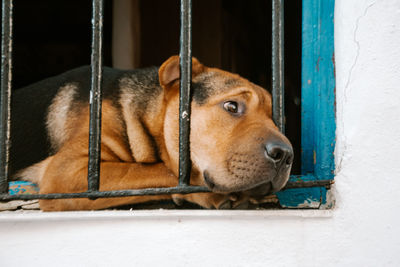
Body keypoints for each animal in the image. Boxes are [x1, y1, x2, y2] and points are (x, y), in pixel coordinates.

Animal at [7, 56, 292, 211]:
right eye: (232, 106)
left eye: (277, 120)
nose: (285, 155)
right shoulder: (68, 172)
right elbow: (156, 170)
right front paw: (209, 192)